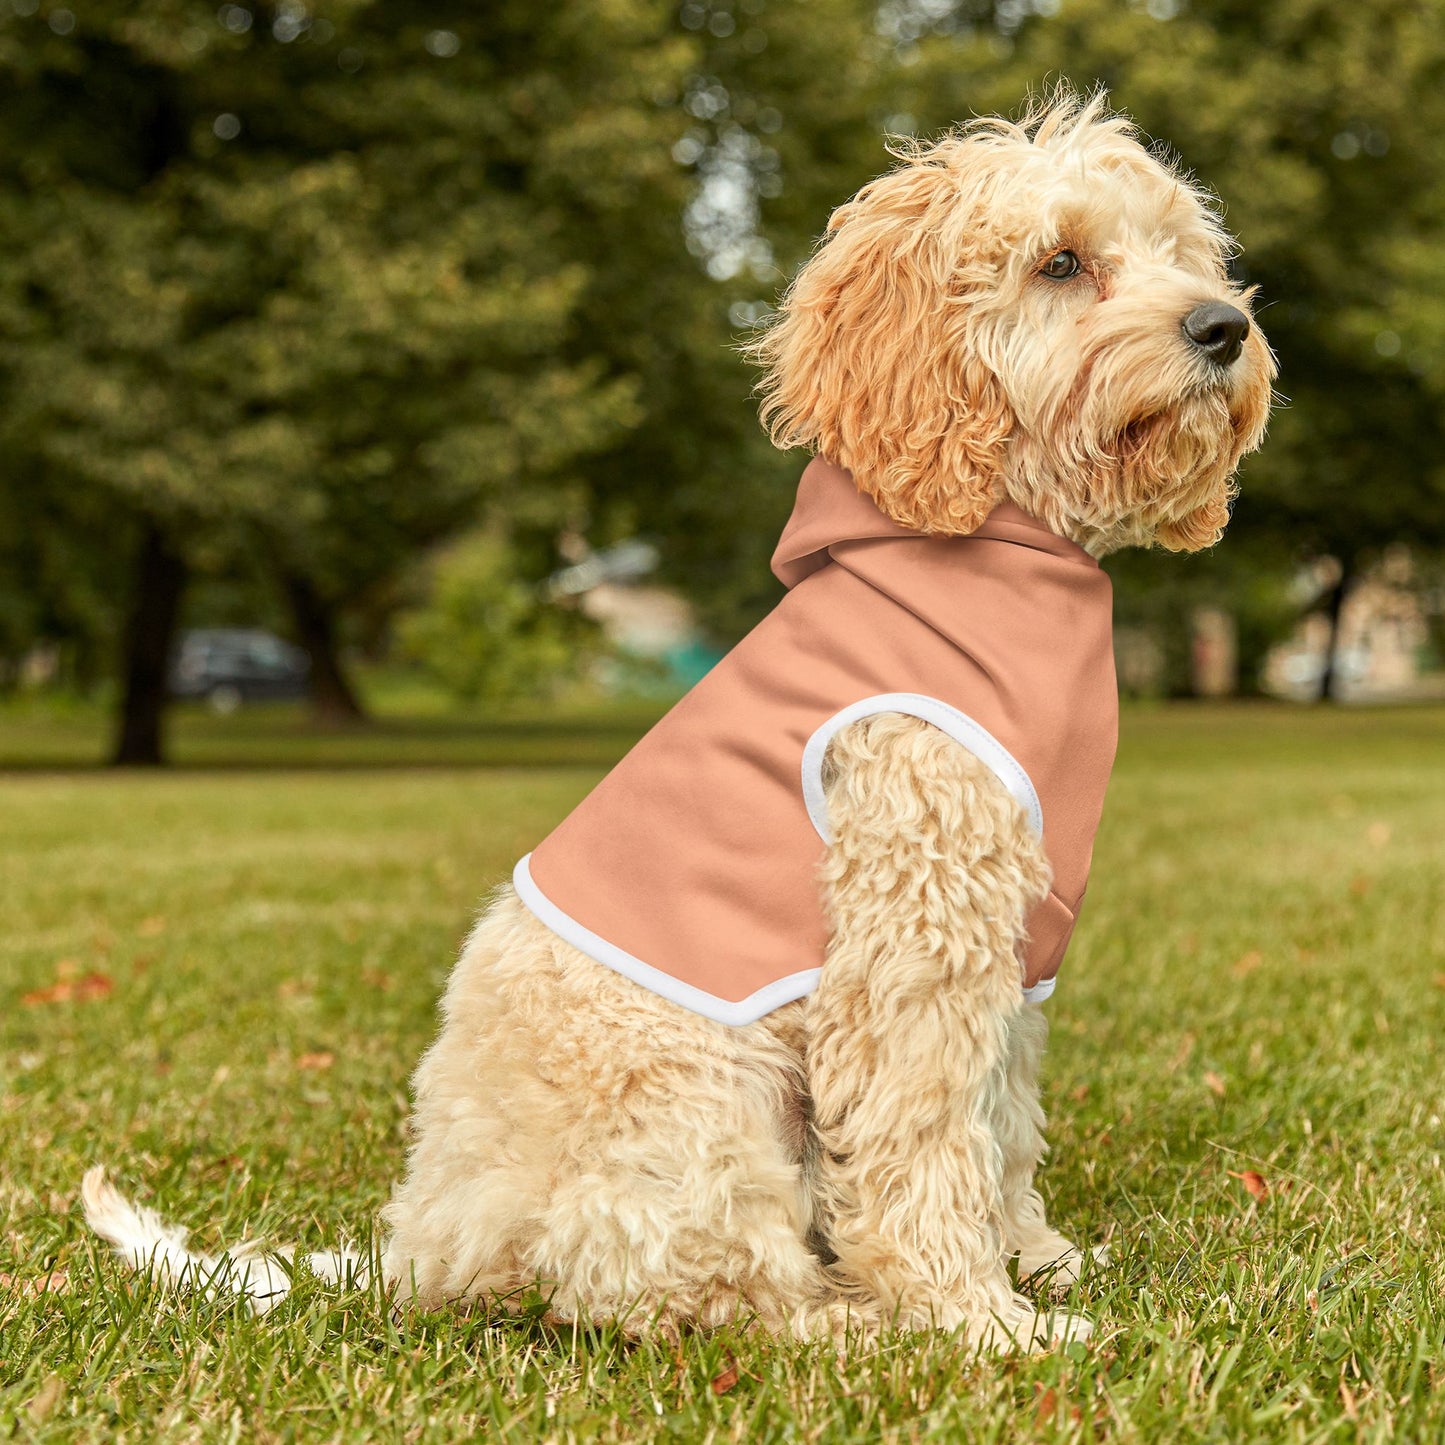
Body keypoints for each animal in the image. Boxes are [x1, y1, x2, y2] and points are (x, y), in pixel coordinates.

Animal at [84, 93, 1271, 1352]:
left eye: (1181, 252)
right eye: (1060, 262)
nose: (1222, 327)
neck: (995, 547)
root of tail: (424, 1245)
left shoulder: (1010, 948)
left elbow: (999, 1124)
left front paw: (1035, 1260)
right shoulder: (913, 937)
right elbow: (923, 1140)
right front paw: (977, 1318)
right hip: (702, 1100)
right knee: (698, 1290)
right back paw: (851, 1322)